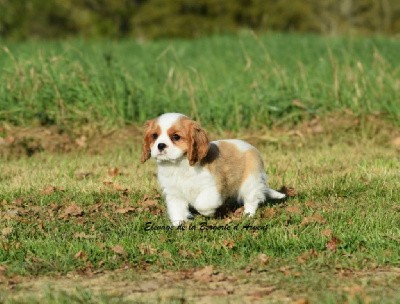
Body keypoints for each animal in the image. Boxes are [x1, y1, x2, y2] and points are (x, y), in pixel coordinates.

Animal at [141, 112, 284, 226]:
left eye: (176, 137)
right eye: (154, 136)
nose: (160, 145)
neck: (179, 165)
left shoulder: (211, 187)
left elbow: (202, 204)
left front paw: (209, 213)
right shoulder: (174, 193)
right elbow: (177, 209)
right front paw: (179, 224)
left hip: (250, 182)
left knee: (252, 200)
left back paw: (247, 214)